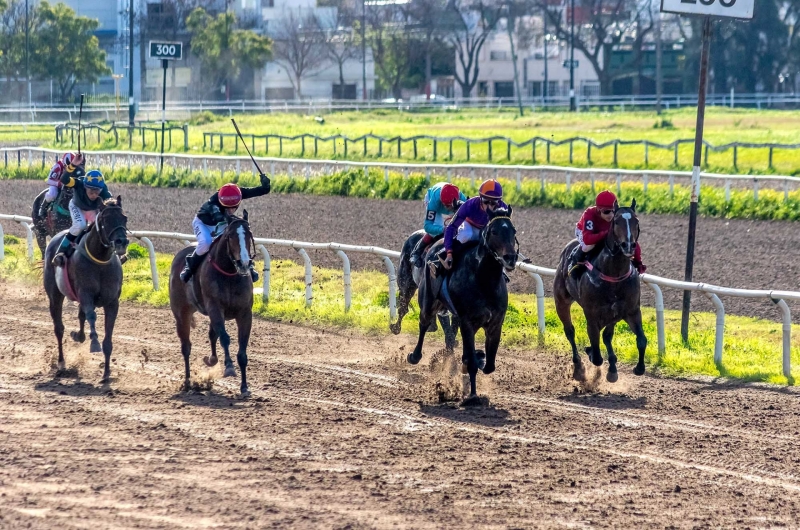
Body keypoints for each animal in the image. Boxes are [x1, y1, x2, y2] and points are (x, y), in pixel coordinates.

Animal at [43, 196, 130, 382]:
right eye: (106, 219)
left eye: (124, 218)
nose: (122, 242)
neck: (100, 260)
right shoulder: (85, 294)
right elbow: (91, 316)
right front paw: (94, 343)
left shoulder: (112, 302)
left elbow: (108, 336)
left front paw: (106, 373)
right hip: (55, 295)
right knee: (59, 328)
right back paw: (61, 363)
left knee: (80, 316)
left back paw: (79, 336)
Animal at [169, 210, 256, 396]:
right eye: (230, 236)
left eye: (249, 235)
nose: (244, 263)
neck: (230, 273)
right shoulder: (215, 307)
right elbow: (225, 338)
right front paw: (229, 367)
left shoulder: (245, 313)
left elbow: (242, 349)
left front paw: (244, 387)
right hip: (181, 313)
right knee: (186, 346)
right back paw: (188, 382)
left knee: (211, 334)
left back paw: (211, 359)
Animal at [406, 208, 520, 398]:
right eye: (494, 231)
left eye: (513, 231)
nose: (510, 258)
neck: (484, 280)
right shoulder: (467, 321)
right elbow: (472, 363)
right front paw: (472, 395)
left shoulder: (496, 323)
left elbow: (489, 366)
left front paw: (477, 358)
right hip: (428, 301)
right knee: (424, 324)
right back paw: (414, 356)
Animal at [552, 200, 648, 382]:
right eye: (616, 221)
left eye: (636, 221)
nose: (629, 245)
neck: (614, 274)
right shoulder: (592, 315)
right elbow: (596, 355)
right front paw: (590, 353)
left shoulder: (631, 311)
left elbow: (641, 340)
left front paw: (638, 368)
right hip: (561, 301)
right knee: (570, 331)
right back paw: (578, 366)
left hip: (613, 315)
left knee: (607, 336)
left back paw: (612, 368)